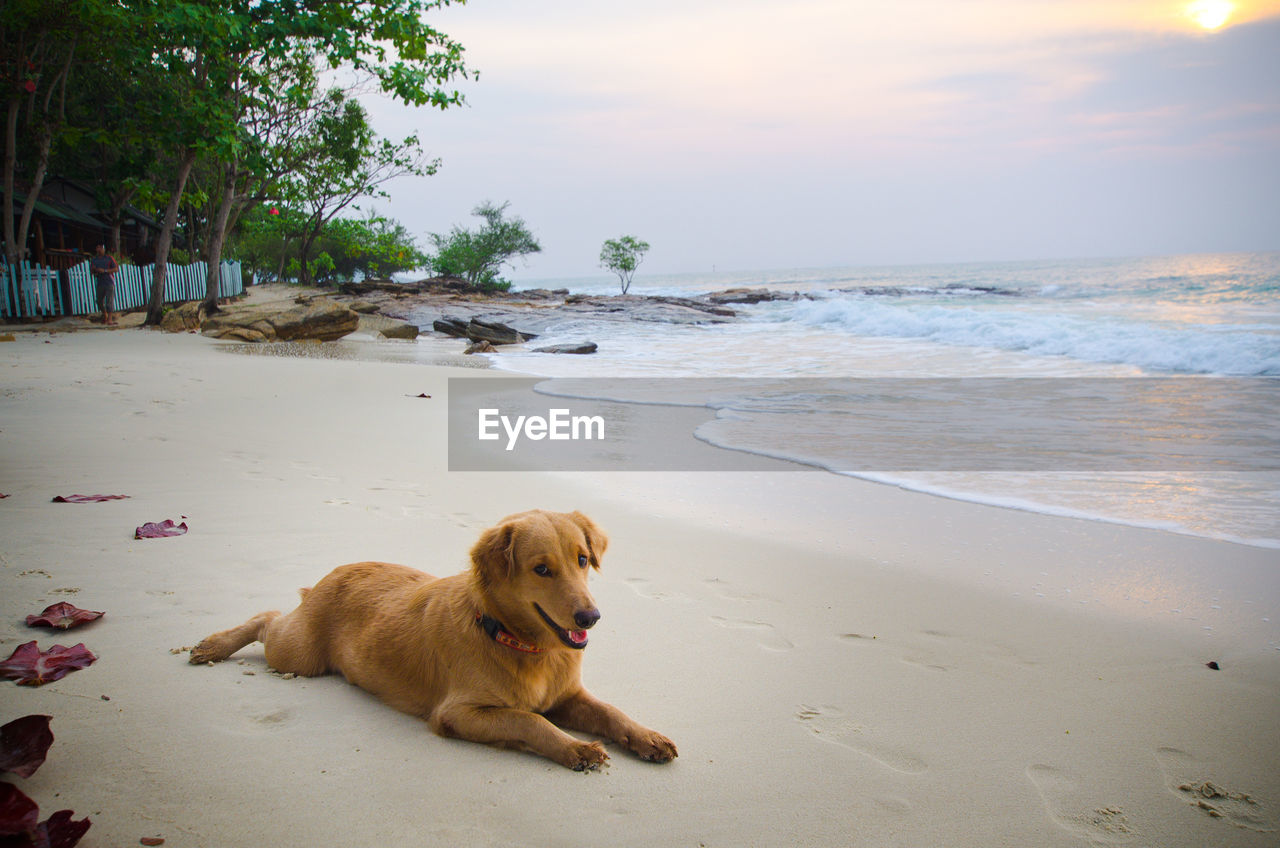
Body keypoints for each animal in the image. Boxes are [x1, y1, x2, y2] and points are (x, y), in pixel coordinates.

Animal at [189, 507, 680, 773]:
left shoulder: (568, 695)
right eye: (542, 569)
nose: (590, 617)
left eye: (582, 559)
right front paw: (574, 747)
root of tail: (335, 570)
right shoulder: (459, 713)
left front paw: (647, 737)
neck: (517, 642)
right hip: (297, 655)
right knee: (267, 618)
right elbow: (530, 722)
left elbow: (611, 712)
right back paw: (213, 645)